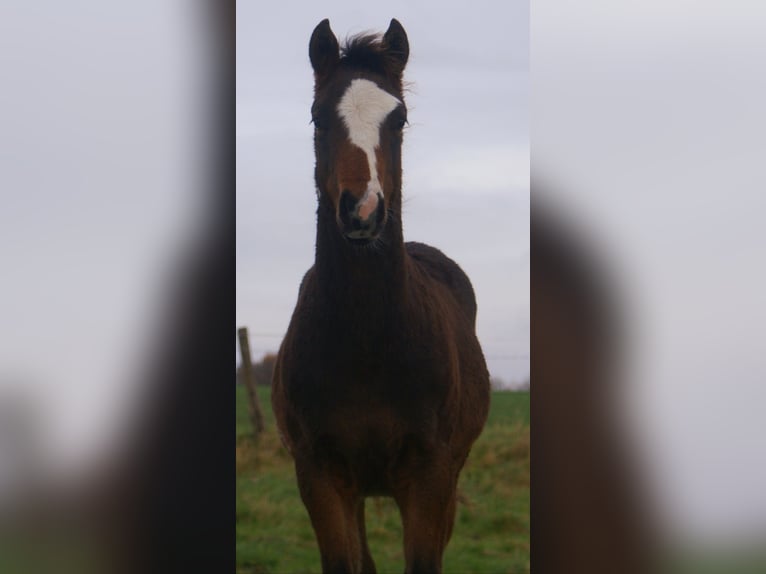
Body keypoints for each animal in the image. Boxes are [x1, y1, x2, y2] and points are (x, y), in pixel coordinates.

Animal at [271, 18, 490, 574]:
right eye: (317, 117)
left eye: (400, 119)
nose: (364, 211)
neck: (369, 344)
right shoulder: (320, 476)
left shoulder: (431, 477)